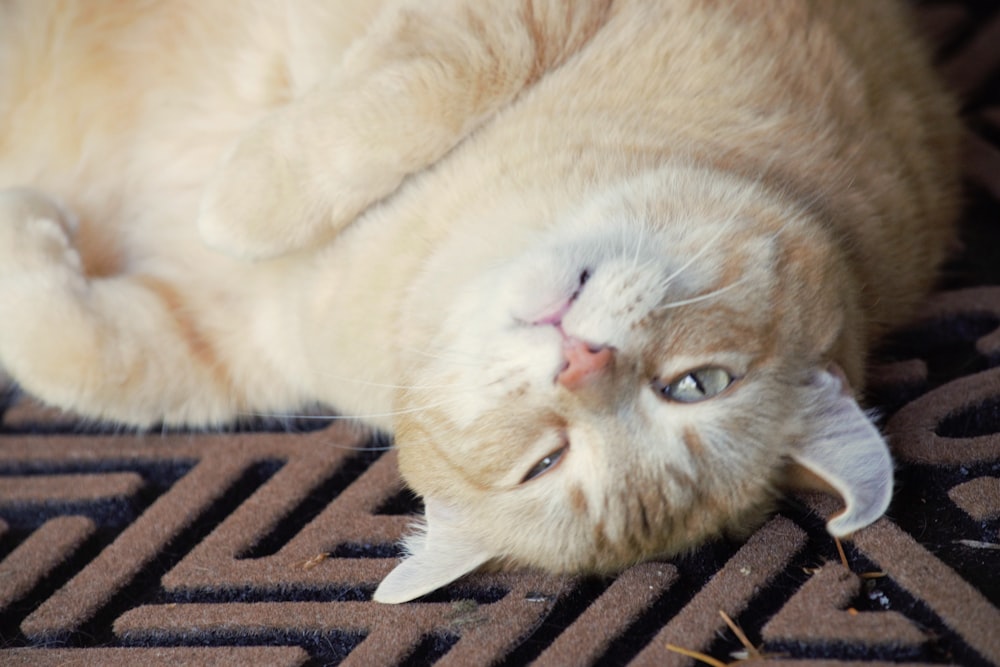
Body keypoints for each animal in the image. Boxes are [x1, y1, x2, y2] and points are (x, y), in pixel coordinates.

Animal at [0, 1, 960, 604]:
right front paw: (249, 191)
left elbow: (87, 359)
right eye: (699, 383)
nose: (580, 362)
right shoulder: (520, 16)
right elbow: (436, 76)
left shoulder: (219, 336)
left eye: (546, 460)